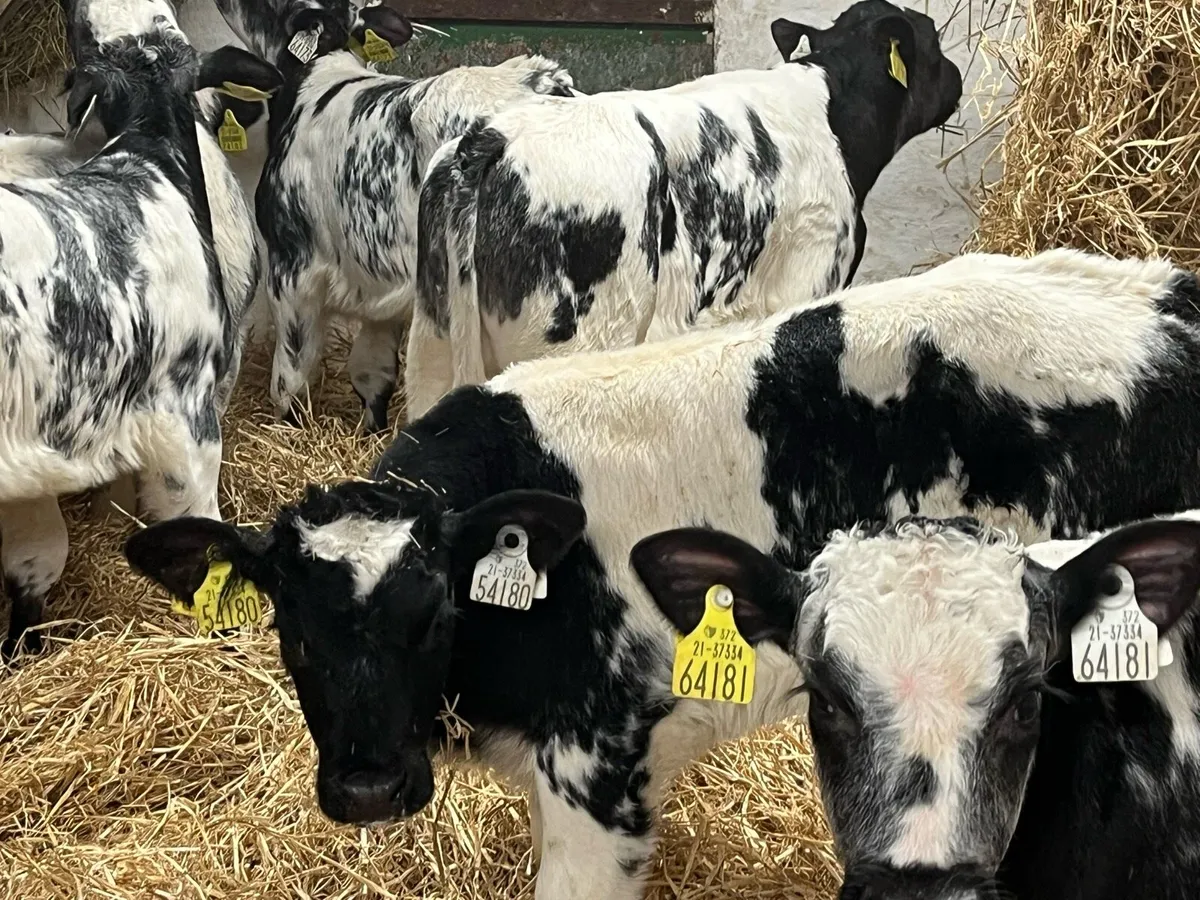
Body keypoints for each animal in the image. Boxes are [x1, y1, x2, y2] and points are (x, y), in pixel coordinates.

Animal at [403, 0, 965, 422]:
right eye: (934, 43)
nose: (958, 77)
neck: (832, 114)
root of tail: (493, 138)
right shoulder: (815, 275)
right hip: (579, 339)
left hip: (432, 345)